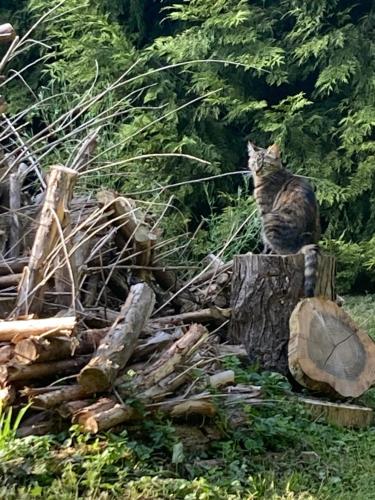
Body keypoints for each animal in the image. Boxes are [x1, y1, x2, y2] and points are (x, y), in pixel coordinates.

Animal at [248, 141, 322, 296]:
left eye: (264, 164)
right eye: (253, 162)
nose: (257, 171)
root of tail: (304, 243)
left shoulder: (265, 210)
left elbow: (266, 243)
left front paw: (264, 252)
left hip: (270, 220)